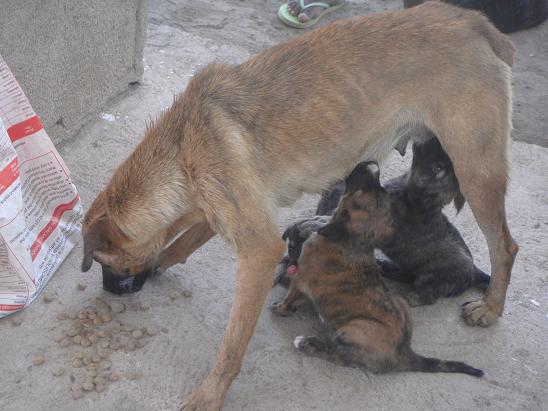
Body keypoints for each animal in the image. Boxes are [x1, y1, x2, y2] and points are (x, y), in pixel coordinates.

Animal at [272, 163, 482, 378]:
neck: (351, 241)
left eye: (358, 191)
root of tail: (404, 355)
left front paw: (278, 308)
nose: (371, 164)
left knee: (338, 354)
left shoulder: (300, 280)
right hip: (397, 300)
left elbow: (288, 299)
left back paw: (306, 342)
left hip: (355, 328)